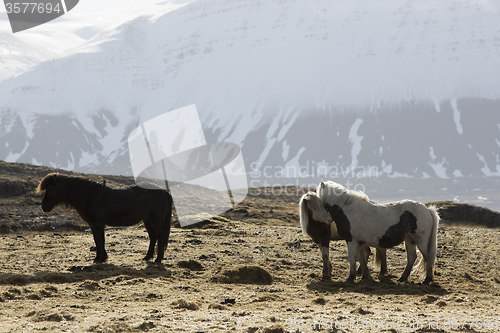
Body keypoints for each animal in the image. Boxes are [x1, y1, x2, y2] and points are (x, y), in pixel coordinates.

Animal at [37, 172, 174, 264]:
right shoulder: (93, 225)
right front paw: (98, 258)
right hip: (148, 221)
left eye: (50, 188)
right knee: (153, 237)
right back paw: (147, 257)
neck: (92, 197)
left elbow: (100, 240)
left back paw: (158, 259)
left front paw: (101, 258)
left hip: (156, 221)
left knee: (160, 237)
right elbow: (97, 240)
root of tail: (165, 191)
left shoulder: (98, 224)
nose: (44, 207)